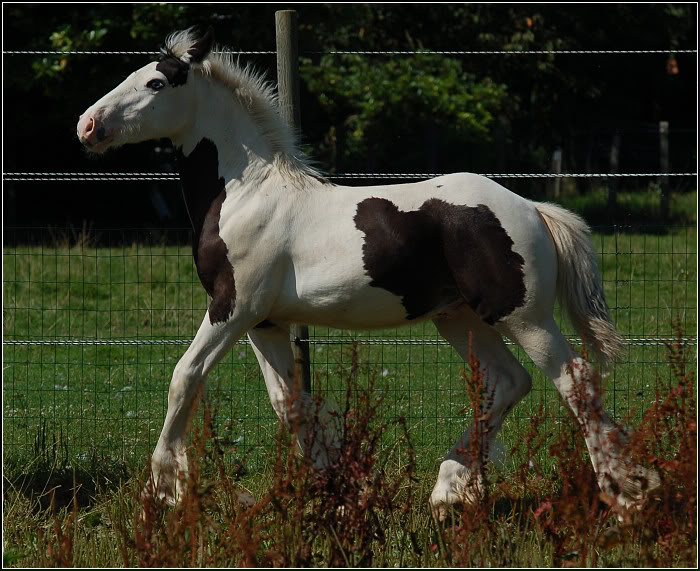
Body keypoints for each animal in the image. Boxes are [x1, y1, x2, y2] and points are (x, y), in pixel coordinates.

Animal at [78, 26, 656, 520]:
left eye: (156, 82)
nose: (87, 125)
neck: (246, 193)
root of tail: (534, 208)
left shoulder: (232, 308)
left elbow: (185, 377)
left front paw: (163, 493)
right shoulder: (265, 322)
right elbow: (292, 406)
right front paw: (343, 492)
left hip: (523, 315)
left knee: (574, 379)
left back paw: (626, 496)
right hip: (460, 318)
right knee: (508, 381)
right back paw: (449, 490)